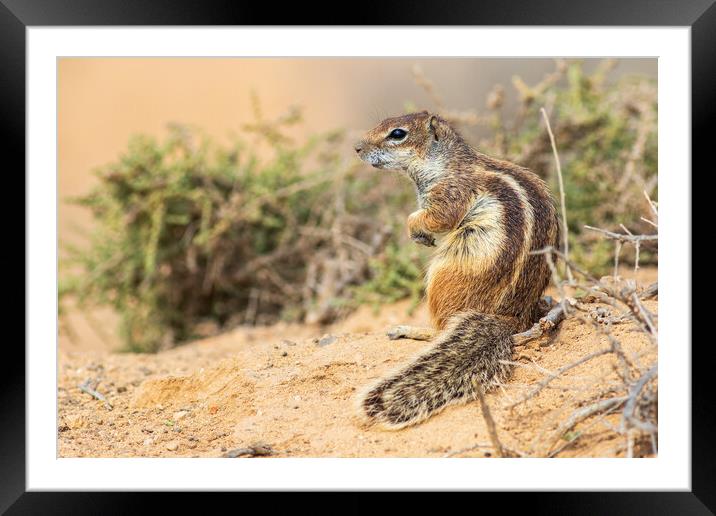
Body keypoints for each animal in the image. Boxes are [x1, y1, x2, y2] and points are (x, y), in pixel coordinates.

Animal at [352, 113, 560, 432]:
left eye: (397, 134)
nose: (358, 148)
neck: (446, 163)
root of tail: (508, 318)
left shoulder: (449, 194)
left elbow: (436, 218)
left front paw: (415, 229)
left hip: (444, 276)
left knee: (440, 327)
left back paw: (411, 330)